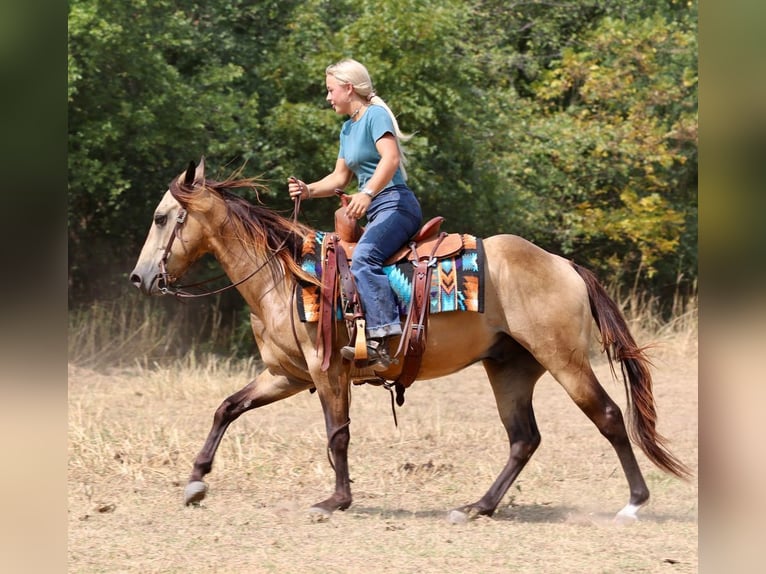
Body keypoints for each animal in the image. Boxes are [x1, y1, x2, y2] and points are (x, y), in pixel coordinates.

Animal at [129, 158, 689, 523]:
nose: (139, 278)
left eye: (160, 218)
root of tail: (565, 265)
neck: (284, 276)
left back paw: (634, 503)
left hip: (565, 361)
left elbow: (337, 433)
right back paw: (477, 507)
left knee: (609, 417)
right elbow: (228, 407)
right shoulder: (287, 375)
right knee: (523, 439)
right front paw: (196, 481)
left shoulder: (327, 371)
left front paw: (335, 501)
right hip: (510, 368)